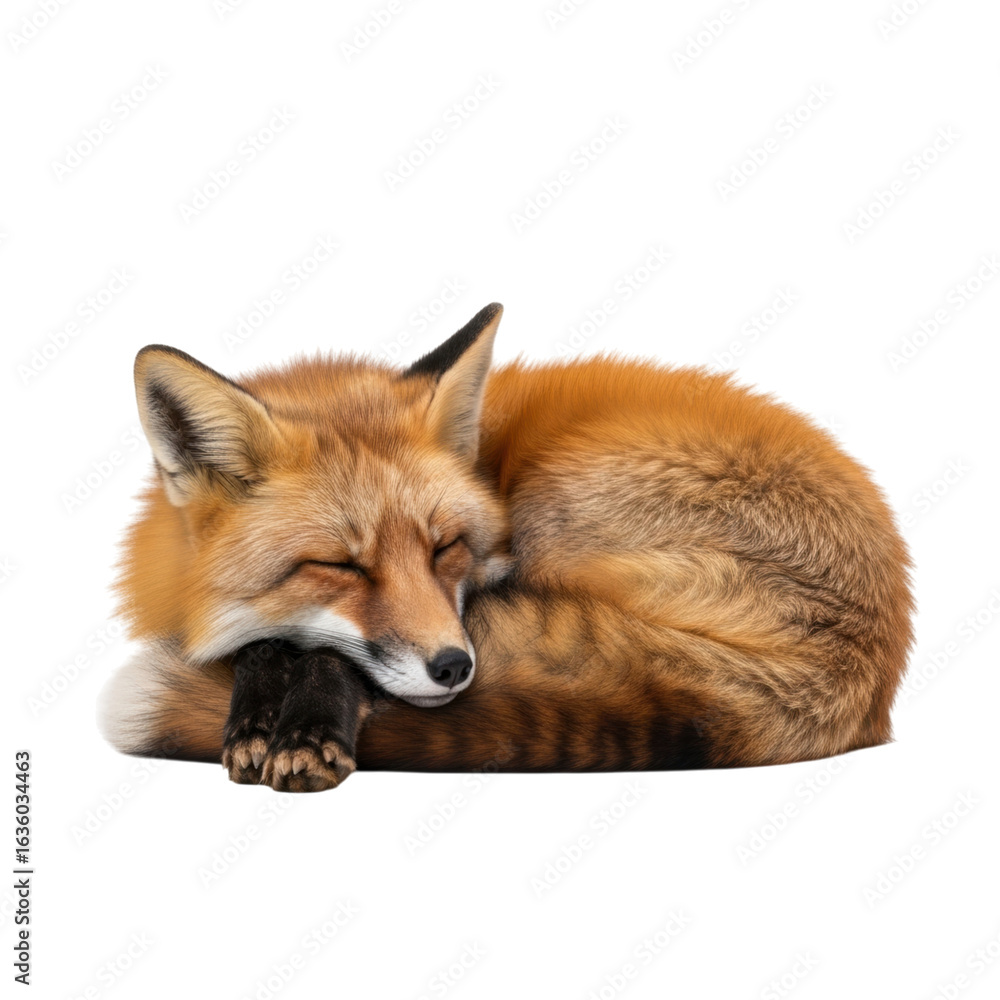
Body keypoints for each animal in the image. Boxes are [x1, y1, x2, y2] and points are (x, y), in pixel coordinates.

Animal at [98, 302, 914, 791]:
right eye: (339, 566)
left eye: (445, 548)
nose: (455, 667)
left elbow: (313, 647)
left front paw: (297, 723)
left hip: (561, 496)